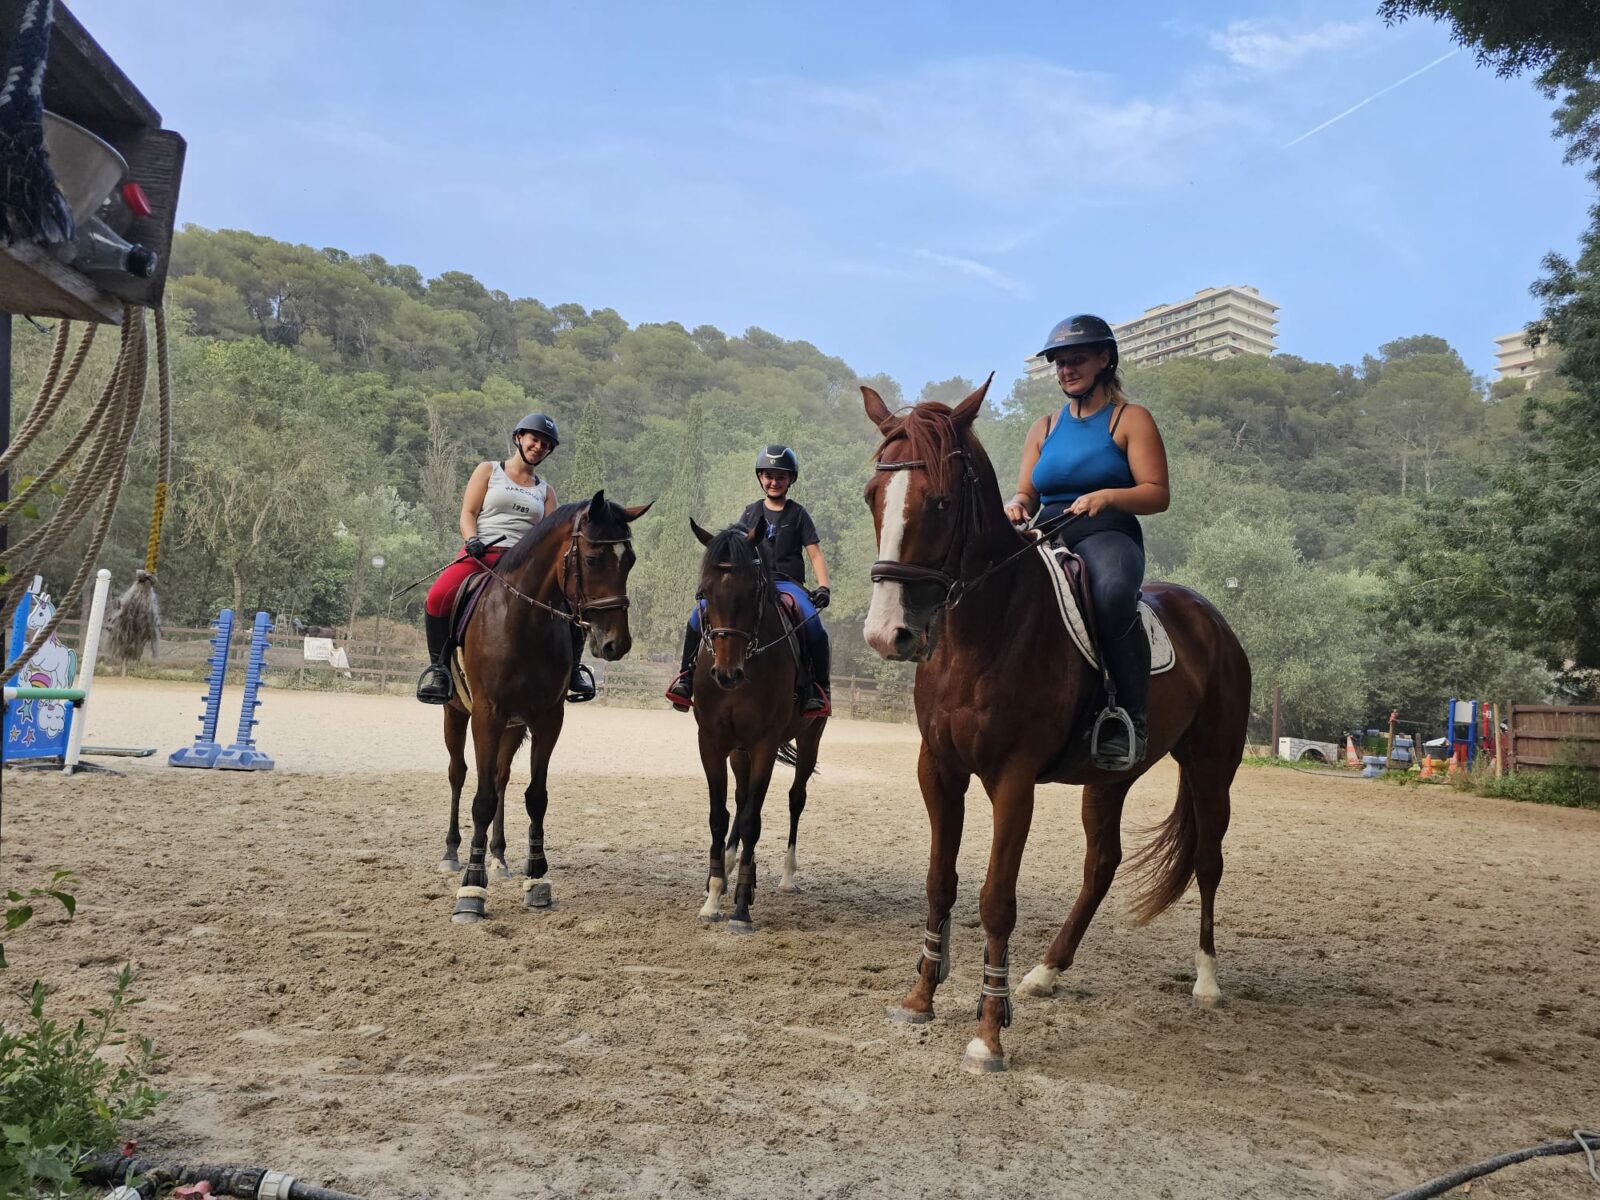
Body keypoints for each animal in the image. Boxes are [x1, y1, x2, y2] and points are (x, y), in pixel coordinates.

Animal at [438, 492, 649, 928]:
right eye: (593, 560)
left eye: (630, 560)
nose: (616, 644)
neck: (522, 622)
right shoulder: (486, 715)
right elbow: (480, 800)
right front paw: (471, 890)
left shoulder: (548, 719)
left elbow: (535, 797)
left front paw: (536, 879)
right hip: (456, 713)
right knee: (458, 774)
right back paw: (452, 853)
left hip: (513, 727)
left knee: (500, 779)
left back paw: (500, 858)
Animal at [691, 521, 832, 934]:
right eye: (704, 592)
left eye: (751, 591)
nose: (727, 673)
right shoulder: (711, 742)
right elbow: (720, 815)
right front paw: (713, 895)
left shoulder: (765, 745)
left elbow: (754, 819)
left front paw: (740, 908)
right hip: (739, 751)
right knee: (741, 800)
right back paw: (731, 866)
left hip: (809, 738)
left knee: (794, 798)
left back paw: (786, 876)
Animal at [864, 380, 1248, 1075]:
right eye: (872, 496)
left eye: (940, 502)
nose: (889, 635)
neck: (985, 630)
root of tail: (1211, 617)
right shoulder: (939, 769)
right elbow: (939, 883)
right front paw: (920, 998)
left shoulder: (1013, 780)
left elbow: (996, 900)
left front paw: (988, 1035)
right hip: (1108, 779)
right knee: (1102, 863)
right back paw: (1046, 972)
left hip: (1212, 769)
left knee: (1208, 862)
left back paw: (1207, 981)